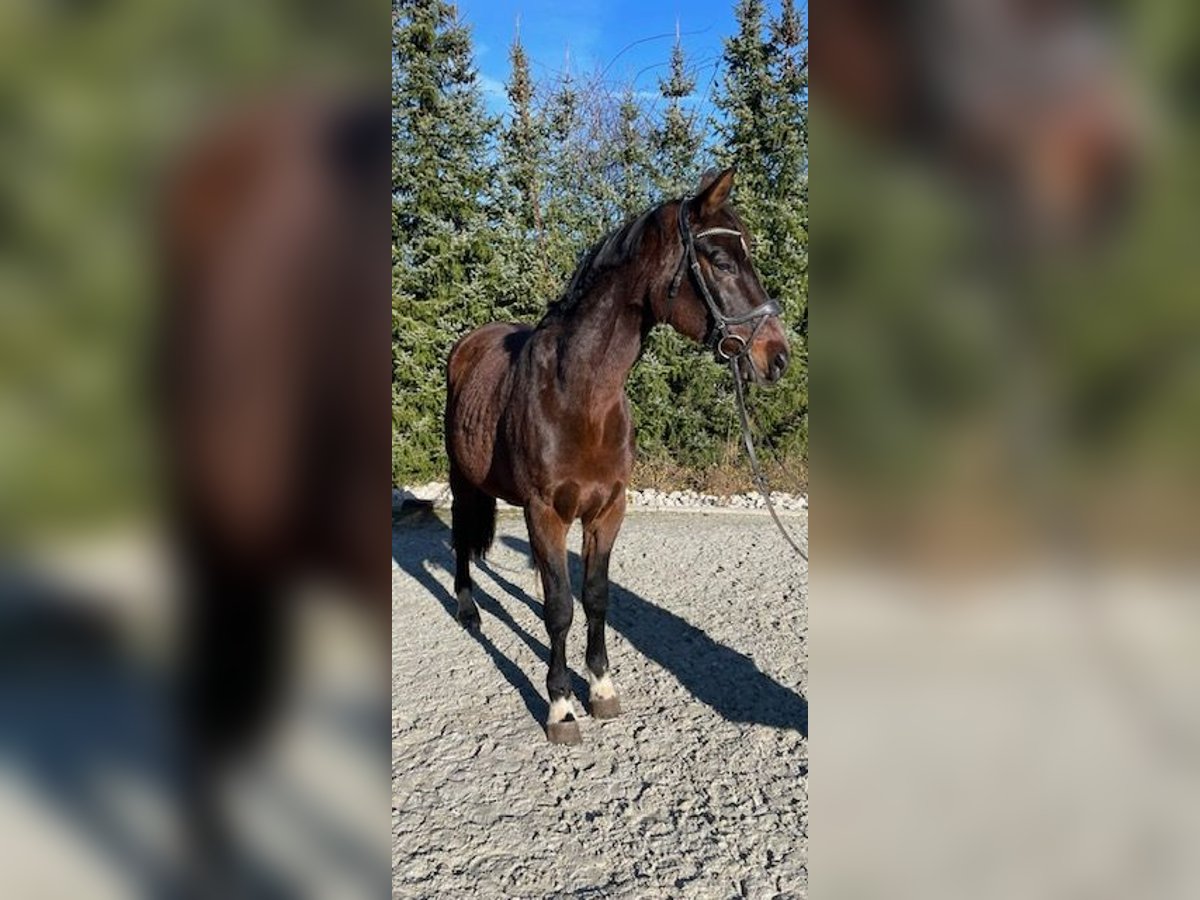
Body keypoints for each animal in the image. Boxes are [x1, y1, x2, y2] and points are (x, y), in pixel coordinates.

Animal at [446, 169, 792, 748]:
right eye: (720, 261)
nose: (778, 357)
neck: (580, 395)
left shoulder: (608, 510)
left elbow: (594, 596)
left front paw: (602, 688)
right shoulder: (545, 511)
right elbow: (560, 609)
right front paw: (561, 706)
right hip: (462, 481)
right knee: (459, 540)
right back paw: (468, 608)